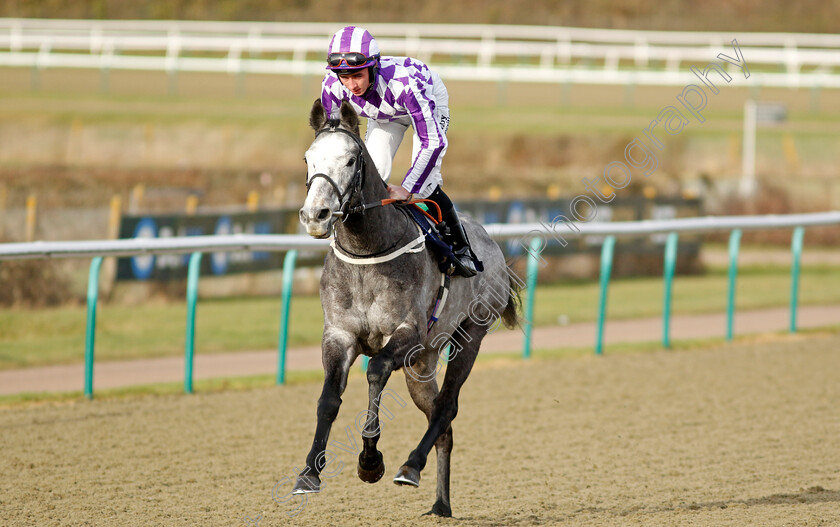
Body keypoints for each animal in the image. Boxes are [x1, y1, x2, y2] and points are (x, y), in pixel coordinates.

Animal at [296, 98, 520, 516]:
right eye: (308, 158)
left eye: (350, 160)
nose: (315, 215)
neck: (368, 251)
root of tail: (493, 246)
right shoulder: (339, 334)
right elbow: (328, 399)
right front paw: (309, 473)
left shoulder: (408, 333)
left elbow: (377, 371)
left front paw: (370, 460)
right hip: (423, 362)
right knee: (442, 423)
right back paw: (441, 505)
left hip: (469, 336)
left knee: (447, 406)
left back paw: (411, 466)